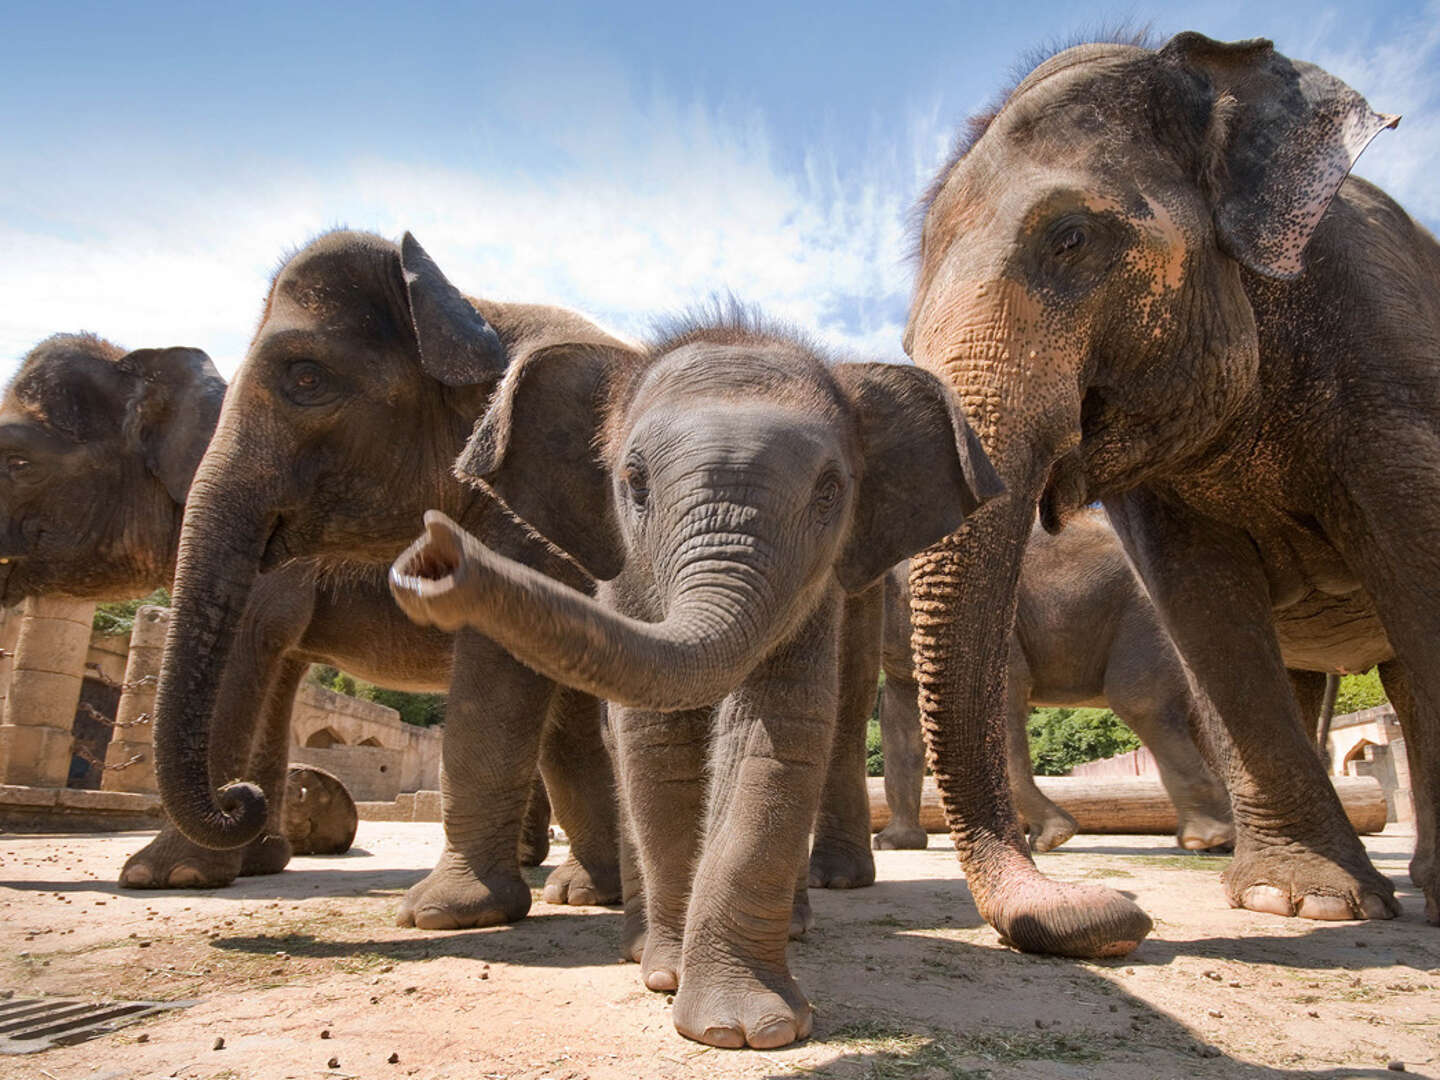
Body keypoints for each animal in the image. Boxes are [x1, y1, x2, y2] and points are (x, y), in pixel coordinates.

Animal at [391, 315, 1002, 1048]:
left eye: (831, 491)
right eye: (634, 482)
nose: (434, 556)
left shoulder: (816, 599)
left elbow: (779, 732)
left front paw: (747, 1030)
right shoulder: (625, 586)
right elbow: (655, 741)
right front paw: (668, 976)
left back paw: (790, 927)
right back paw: (637, 944)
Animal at [869, 512, 1232, 858]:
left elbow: (1004, 693)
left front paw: (1052, 838)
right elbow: (899, 723)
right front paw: (893, 843)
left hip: (1145, 615)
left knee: (1140, 702)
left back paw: (1205, 838)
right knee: (1196, 720)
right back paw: (1223, 844)